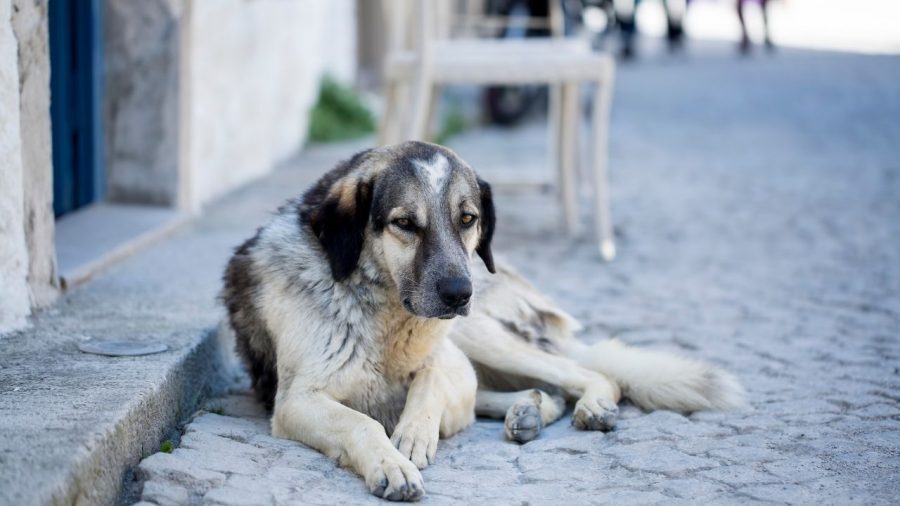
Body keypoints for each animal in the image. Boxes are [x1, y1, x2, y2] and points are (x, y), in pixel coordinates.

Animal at [221, 140, 740, 500]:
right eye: (405, 223)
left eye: (467, 219)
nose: (458, 293)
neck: (385, 314)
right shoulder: (296, 401)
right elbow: (362, 423)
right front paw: (391, 463)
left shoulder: (451, 362)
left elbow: (430, 380)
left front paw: (412, 434)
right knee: (540, 390)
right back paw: (528, 411)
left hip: (483, 335)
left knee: (586, 374)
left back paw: (585, 404)